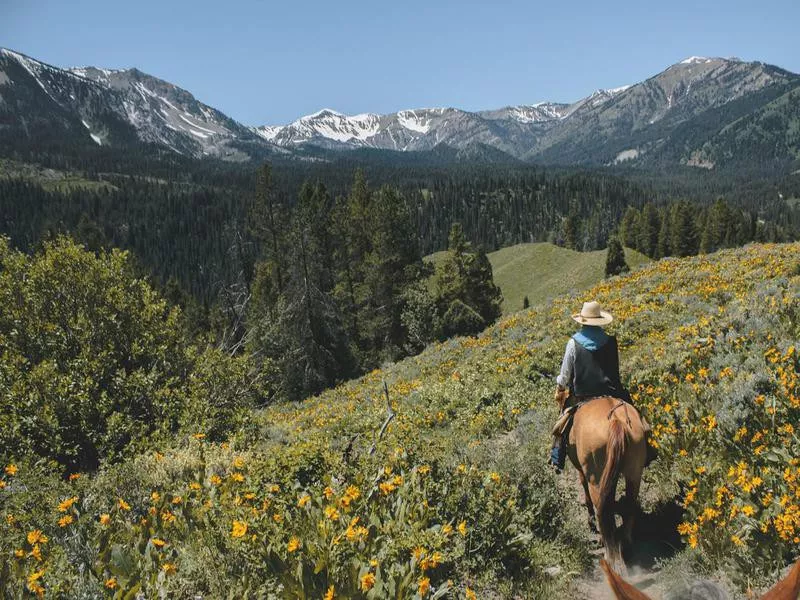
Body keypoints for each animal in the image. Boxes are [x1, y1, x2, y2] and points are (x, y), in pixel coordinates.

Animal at [556, 394, 648, 572]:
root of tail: (616, 421)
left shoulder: (583, 472)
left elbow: (586, 494)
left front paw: (591, 524)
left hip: (596, 477)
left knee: (603, 509)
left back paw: (609, 554)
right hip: (634, 473)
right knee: (629, 505)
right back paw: (625, 547)